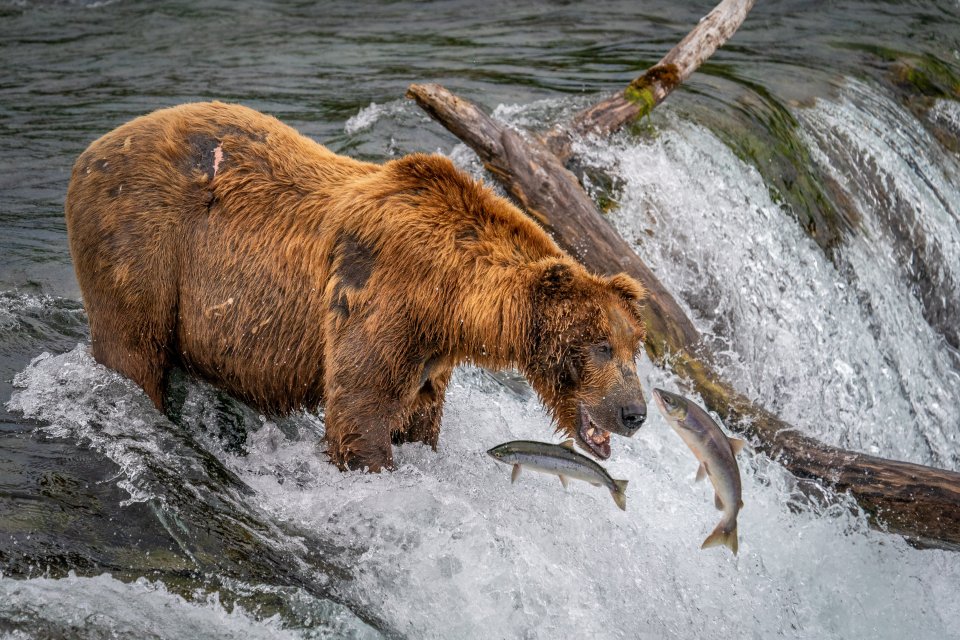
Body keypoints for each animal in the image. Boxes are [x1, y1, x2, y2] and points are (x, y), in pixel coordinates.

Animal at [67, 100, 648, 470]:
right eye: (600, 345)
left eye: (632, 347)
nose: (635, 413)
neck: (451, 299)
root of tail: (90, 151)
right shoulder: (382, 297)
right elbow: (359, 409)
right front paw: (374, 466)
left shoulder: (429, 353)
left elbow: (418, 416)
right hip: (143, 242)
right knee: (133, 346)